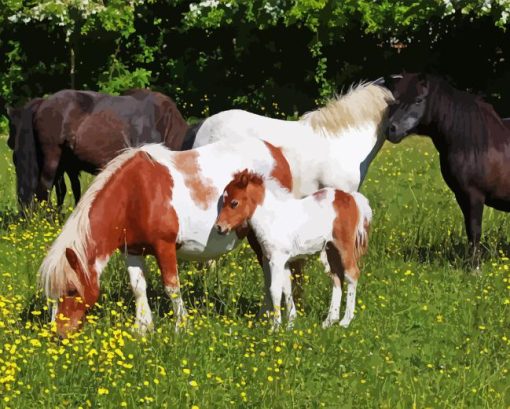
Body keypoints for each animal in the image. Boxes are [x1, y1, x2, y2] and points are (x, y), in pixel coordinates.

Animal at [37, 139, 292, 336]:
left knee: (272, 273)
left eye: (72, 290)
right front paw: (142, 327)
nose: (59, 335)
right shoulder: (132, 250)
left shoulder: (165, 246)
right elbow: (138, 286)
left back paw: (269, 317)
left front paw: (182, 326)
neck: (135, 193)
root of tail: (277, 152)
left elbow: (172, 287)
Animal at [213, 169, 372, 328]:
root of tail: (350, 197)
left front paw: (275, 326)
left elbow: (275, 289)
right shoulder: (280, 260)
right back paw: (329, 321)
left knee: (352, 274)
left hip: (344, 247)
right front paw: (290, 323)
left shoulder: (276, 260)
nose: (219, 227)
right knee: (337, 277)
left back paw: (345, 321)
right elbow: (287, 288)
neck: (273, 218)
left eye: (234, 203)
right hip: (330, 249)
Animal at [386, 72, 510, 264]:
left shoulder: (474, 196)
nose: (391, 129)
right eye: (394, 98)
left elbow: (475, 231)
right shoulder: (462, 196)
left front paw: (474, 266)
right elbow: (469, 231)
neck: (471, 144)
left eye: (419, 100)